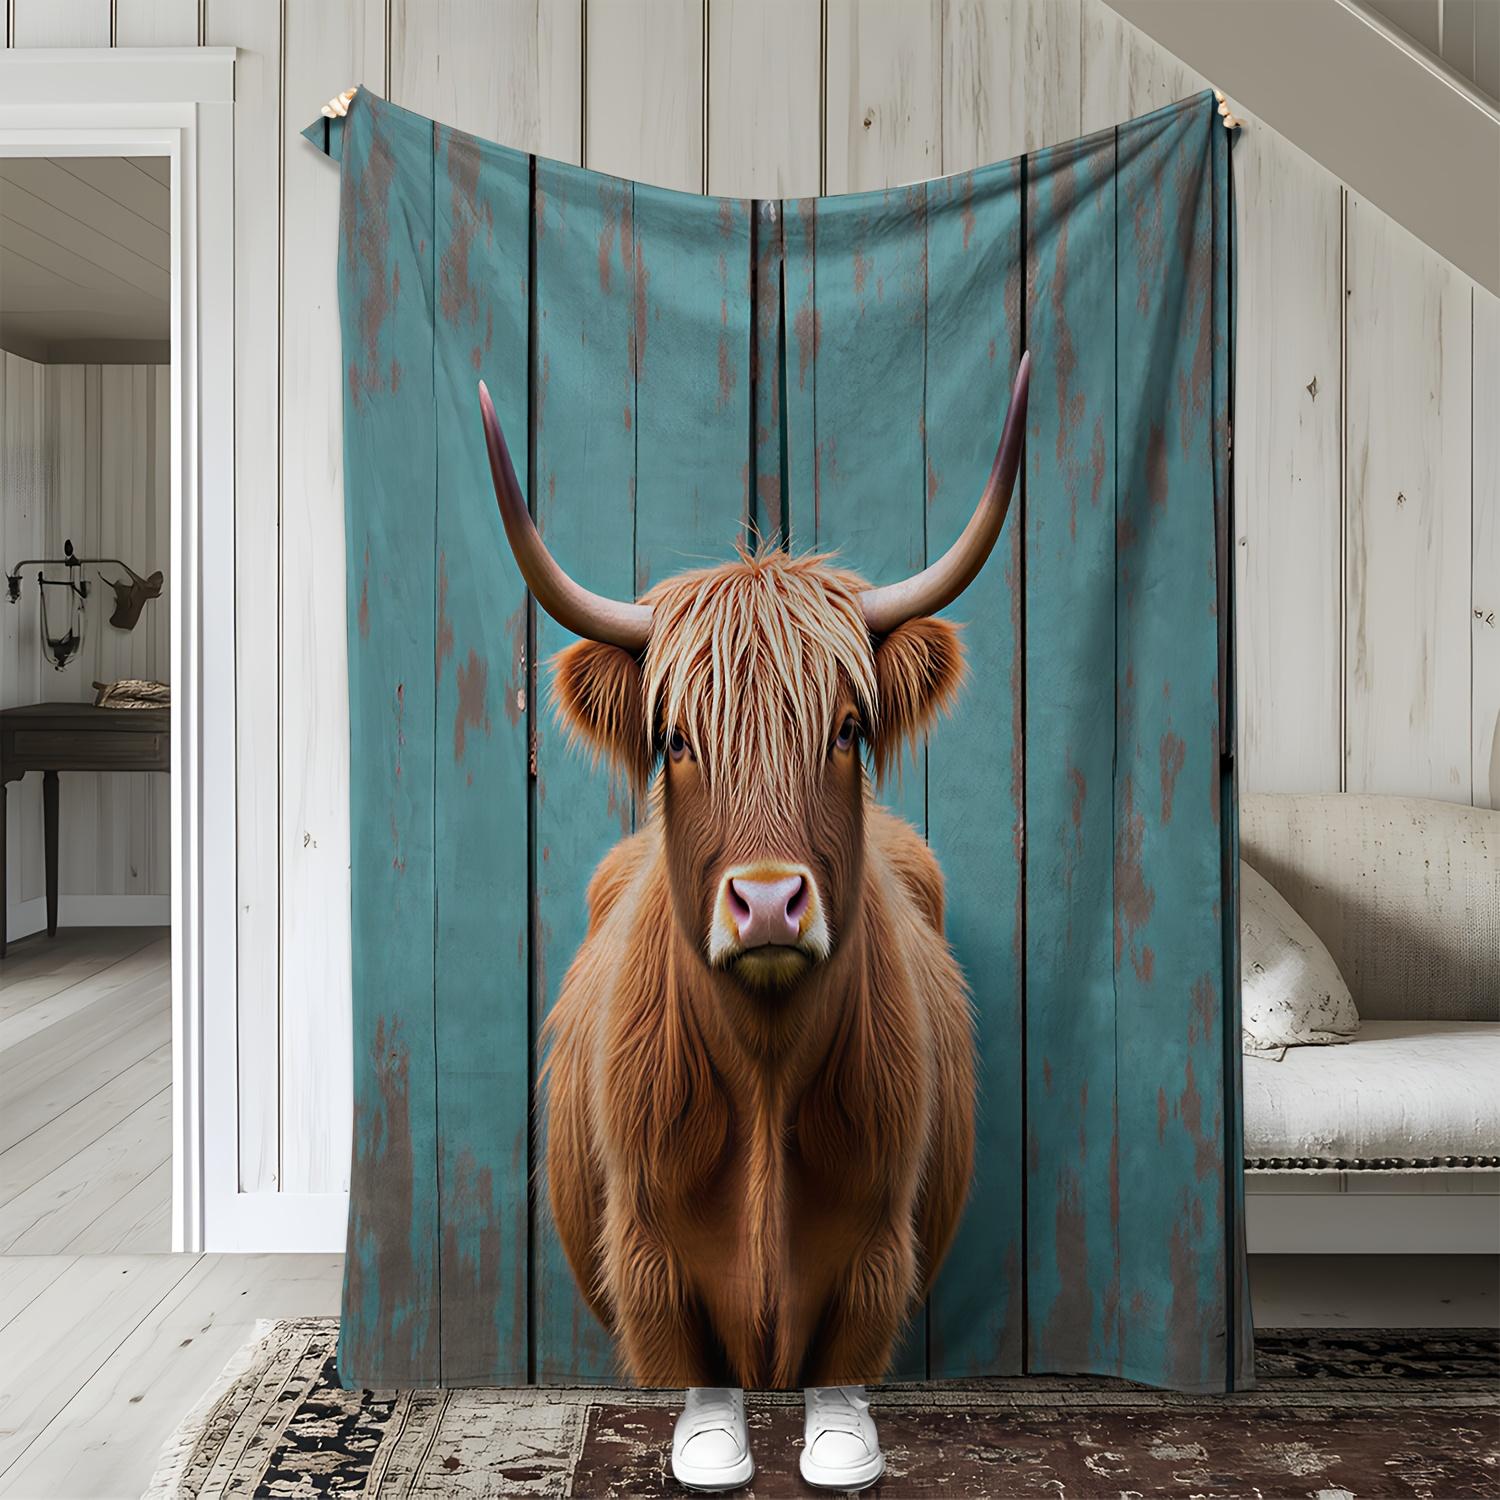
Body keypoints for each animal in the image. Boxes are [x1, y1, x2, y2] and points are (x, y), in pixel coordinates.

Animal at [478, 355, 1028, 1396]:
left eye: (847, 729)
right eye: (675, 739)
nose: (768, 902)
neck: (766, 1087)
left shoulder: (873, 1279)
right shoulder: (649, 1283)